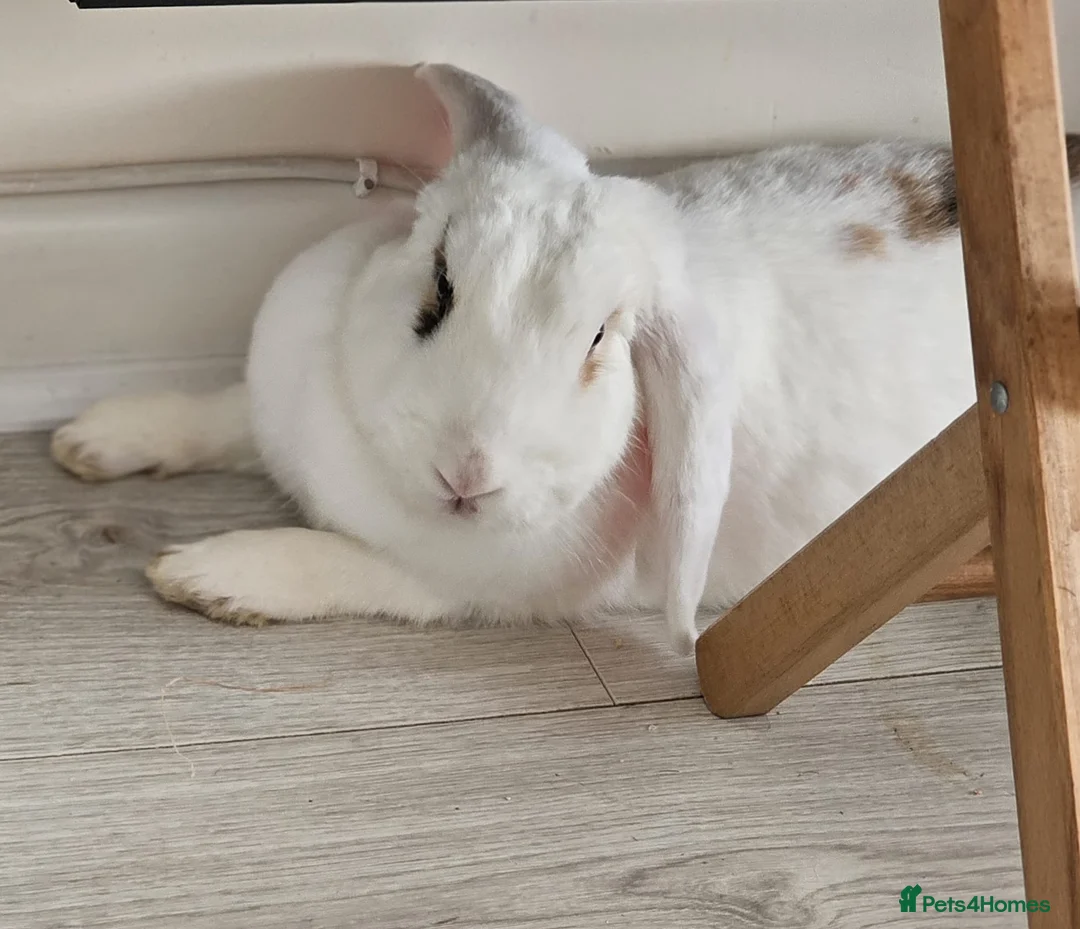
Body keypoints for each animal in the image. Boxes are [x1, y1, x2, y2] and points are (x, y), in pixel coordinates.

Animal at [50, 64, 1080, 657]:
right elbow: (219, 411)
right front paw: (92, 439)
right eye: (438, 284)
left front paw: (208, 576)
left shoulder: (447, 588)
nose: (467, 473)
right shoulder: (262, 400)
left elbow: (331, 560)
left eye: (601, 343)